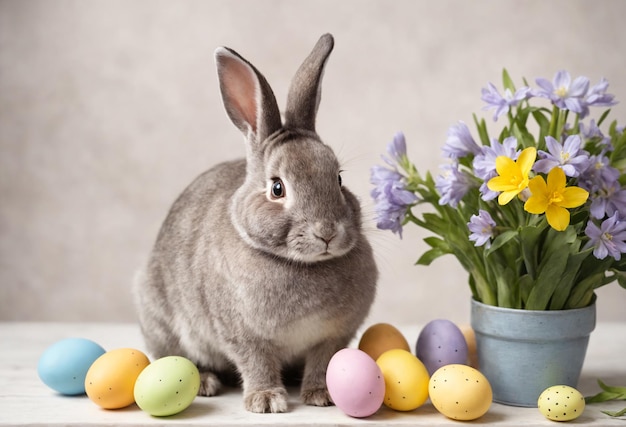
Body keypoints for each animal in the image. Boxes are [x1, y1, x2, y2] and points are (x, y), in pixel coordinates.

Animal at [134, 34, 376, 414]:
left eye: (338, 179)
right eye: (277, 188)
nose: (326, 232)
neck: (302, 264)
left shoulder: (333, 335)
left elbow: (323, 361)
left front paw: (320, 395)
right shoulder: (244, 335)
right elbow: (256, 362)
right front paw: (266, 400)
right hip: (159, 319)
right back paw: (205, 382)